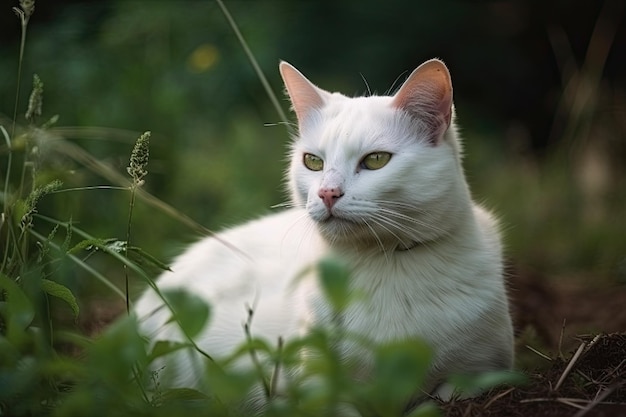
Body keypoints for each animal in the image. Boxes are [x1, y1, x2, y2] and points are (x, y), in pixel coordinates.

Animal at [135, 60, 512, 404]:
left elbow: (448, 391)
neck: (384, 262)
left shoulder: (485, 367)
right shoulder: (310, 387)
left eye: (376, 160)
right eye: (313, 162)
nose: (327, 193)